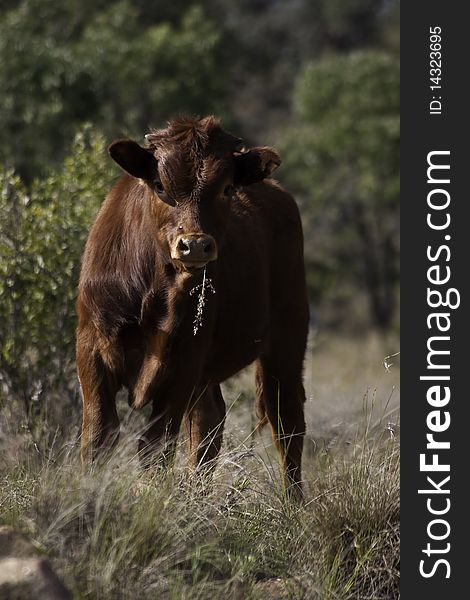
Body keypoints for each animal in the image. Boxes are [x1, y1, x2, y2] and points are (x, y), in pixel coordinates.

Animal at [78, 115, 308, 494]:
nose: (195, 245)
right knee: (209, 422)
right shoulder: (92, 348)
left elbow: (156, 445)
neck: (156, 290)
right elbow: (98, 436)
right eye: (160, 185)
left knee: (287, 422)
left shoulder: (182, 360)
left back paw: (294, 503)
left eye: (227, 188)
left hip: (288, 337)